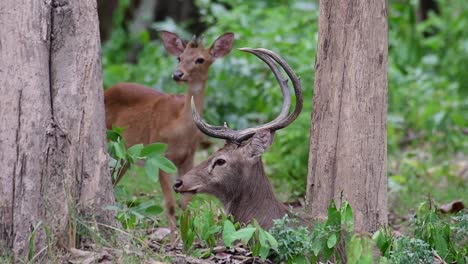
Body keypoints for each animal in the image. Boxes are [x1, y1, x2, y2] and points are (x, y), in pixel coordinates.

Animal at [103, 31, 233, 231]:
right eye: (179, 57)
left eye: (200, 59)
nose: (177, 74)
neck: (180, 128)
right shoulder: (159, 156)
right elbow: (170, 205)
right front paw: (174, 237)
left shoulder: (188, 158)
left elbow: (185, 203)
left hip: (124, 155)